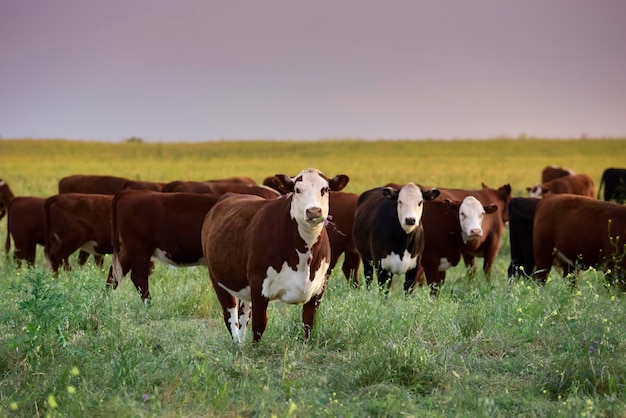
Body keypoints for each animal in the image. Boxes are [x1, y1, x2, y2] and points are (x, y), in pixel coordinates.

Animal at [201, 167, 348, 342]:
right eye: (297, 190)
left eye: (325, 189)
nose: (313, 211)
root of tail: (230, 195)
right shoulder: (258, 284)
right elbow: (259, 325)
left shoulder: (319, 287)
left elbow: (309, 323)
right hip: (218, 279)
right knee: (230, 316)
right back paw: (236, 343)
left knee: (244, 315)